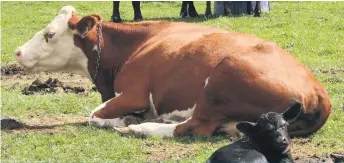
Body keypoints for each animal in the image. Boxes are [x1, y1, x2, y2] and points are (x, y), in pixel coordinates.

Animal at [15, 5, 330, 137]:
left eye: (50, 34)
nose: (17, 51)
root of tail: (318, 93)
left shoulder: (134, 93)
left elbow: (94, 116)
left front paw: (124, 120)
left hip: (222, 75)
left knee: (195, 127)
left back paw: (140, 128)